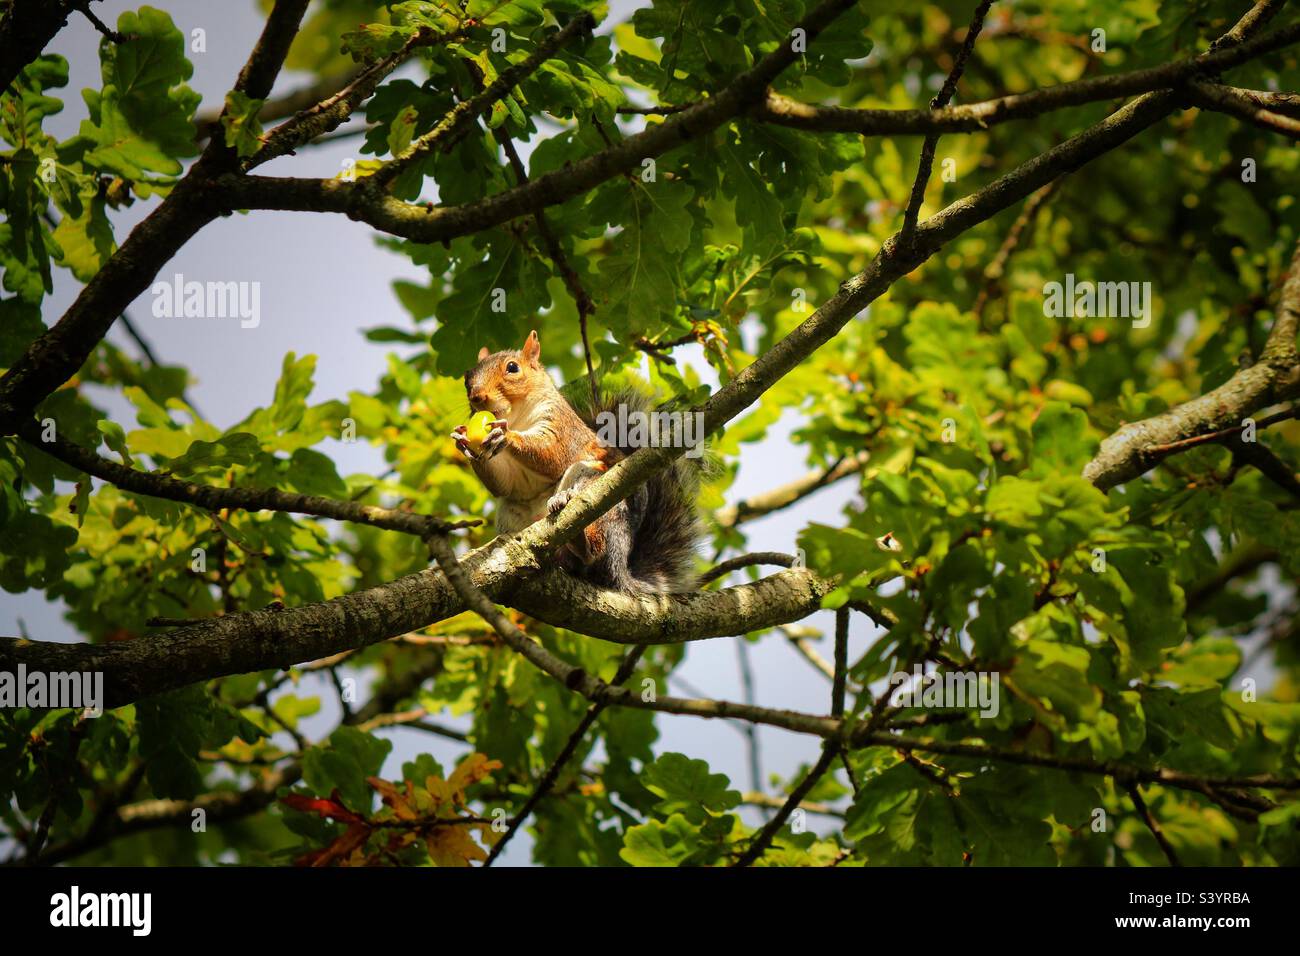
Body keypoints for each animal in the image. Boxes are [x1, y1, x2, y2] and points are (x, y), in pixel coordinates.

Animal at [452, 330, 702, 594]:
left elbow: (552, 454)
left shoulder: (562, 427)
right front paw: (463, 442)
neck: (516, 416)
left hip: (600, 500)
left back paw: (577, 535)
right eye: (467, 377)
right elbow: (504, 484)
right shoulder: (510, 477)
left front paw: (506, 435)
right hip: (511, 512)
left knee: (592, 551)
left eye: (512, 367)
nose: (476, 396)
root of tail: (619, 565)